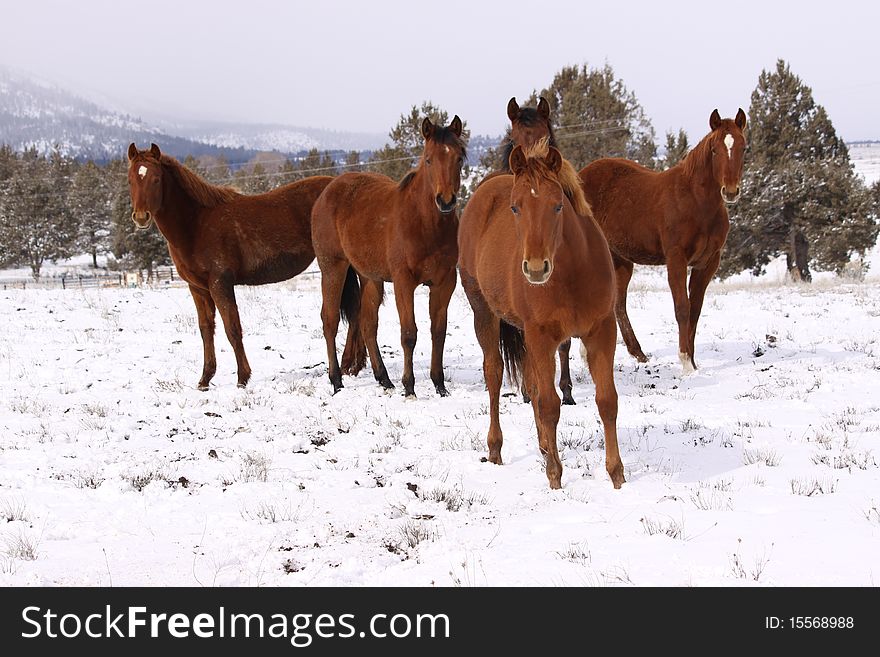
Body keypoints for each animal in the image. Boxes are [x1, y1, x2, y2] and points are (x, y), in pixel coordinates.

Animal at [127, 142, 336, 390]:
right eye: (130, 179)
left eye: (156, 179)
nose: (141, 217)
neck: (196, 224)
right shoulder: (198, 288)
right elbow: (206, 329)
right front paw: (205, 379)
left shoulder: (220, 283)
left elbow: (232, 329)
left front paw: (242, 377)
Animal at [312, 115, 468, 398]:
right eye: (428, 159)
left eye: (459, 158)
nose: (446, 201)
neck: (424, 224)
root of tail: (327, 191)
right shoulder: (403, 282)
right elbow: (409, 334)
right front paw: (410, 386)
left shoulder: (445, 282)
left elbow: (438, 332)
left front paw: (439, 385)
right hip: (332, 268)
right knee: (329, 321)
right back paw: (336, 380)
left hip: (370, 277)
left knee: (367, 323)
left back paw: (383, 378)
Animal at [458, 141, 624, 490]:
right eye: (515, 208)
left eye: (557, 206)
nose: (535, 268)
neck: (572, 274)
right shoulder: (542, 335)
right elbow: (549, 405)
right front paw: (555, 477)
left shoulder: (602, 331)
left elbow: (607, 401)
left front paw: (617, 476)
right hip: (484, 312)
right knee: (494, 374)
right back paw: (495, 448)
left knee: (532, 385)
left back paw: (545, 445)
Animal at [580, 109, 744, 372]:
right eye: (714, 149)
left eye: (743, 147)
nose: (730, 191)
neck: (696, 202)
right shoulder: (676, 258)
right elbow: (682, 308)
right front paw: (686, 363)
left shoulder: (707, 263)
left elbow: (695, 310)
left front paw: (693, 362)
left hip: (620, 260)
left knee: (618, 303)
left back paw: (635, 354)